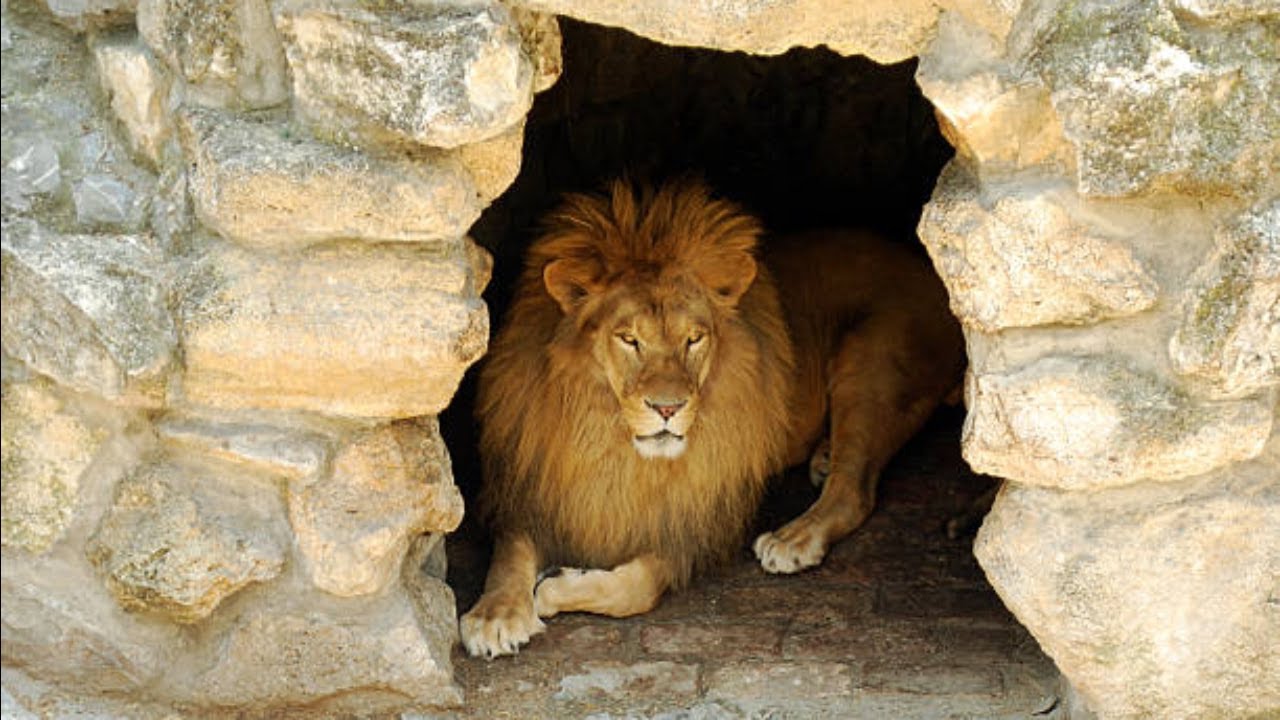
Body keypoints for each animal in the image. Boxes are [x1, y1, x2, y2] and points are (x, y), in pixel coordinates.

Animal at [459, 179, 965, 658]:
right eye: (629, 339)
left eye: (694, 339)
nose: (668, 408)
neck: (613, 444)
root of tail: (931, 273)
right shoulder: (534, 488)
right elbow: (509, 553)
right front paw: (495, 615)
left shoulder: (688, 524)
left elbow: (636, 588)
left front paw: (553, 587)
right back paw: (823, 457)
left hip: (870, 360)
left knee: (854, 490)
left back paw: (794, 537)